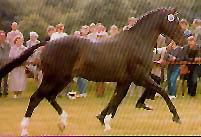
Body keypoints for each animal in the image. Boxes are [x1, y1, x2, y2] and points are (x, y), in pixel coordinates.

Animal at [0, 7, 186, 135]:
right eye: (174, 21)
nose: (184, 40)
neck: (137, 41)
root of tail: (48, 43)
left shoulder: (126, 79)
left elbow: (116, 99)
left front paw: (104, 120)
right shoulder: (139, 76)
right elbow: (161, 90)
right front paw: (176, 117)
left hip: (63, 79)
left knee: (49, 97)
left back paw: (63, 123)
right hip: (52, 78)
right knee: (36, 98)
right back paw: (25, 129)